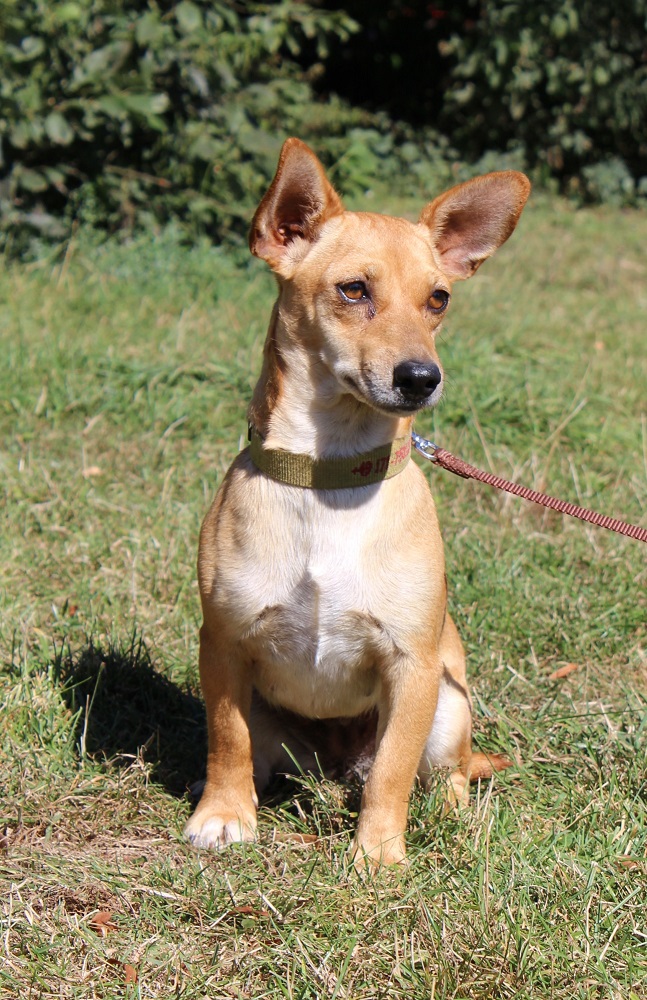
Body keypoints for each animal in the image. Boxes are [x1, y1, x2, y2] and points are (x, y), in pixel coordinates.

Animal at [185, 138, 530, 865]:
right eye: (353, 289)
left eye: (438, 299)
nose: (422, 377)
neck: (331, 476)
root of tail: (337, 766)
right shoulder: (223, 646)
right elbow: (226, 740)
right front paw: (223, 815)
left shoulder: (413, 667)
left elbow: (393, 772)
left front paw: (377, 852)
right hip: (277, 724)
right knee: (261, 759)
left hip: (449, 705)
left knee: (441, 772)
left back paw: (448, 815)